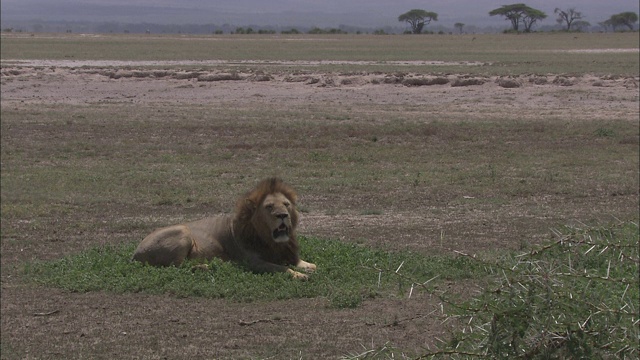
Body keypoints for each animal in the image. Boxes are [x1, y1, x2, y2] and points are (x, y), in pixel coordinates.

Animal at [133, 176, 318, 278]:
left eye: (286, 204)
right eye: (269, 207)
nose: (283, 215)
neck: (271, 241)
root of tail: (135, 253)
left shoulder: (289, 255)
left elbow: (310, 265)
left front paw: (310, 269)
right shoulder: (253, 262)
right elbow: (282, 269)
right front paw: (300, 275)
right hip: (183, 231)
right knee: (177, 267)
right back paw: (207, 267)